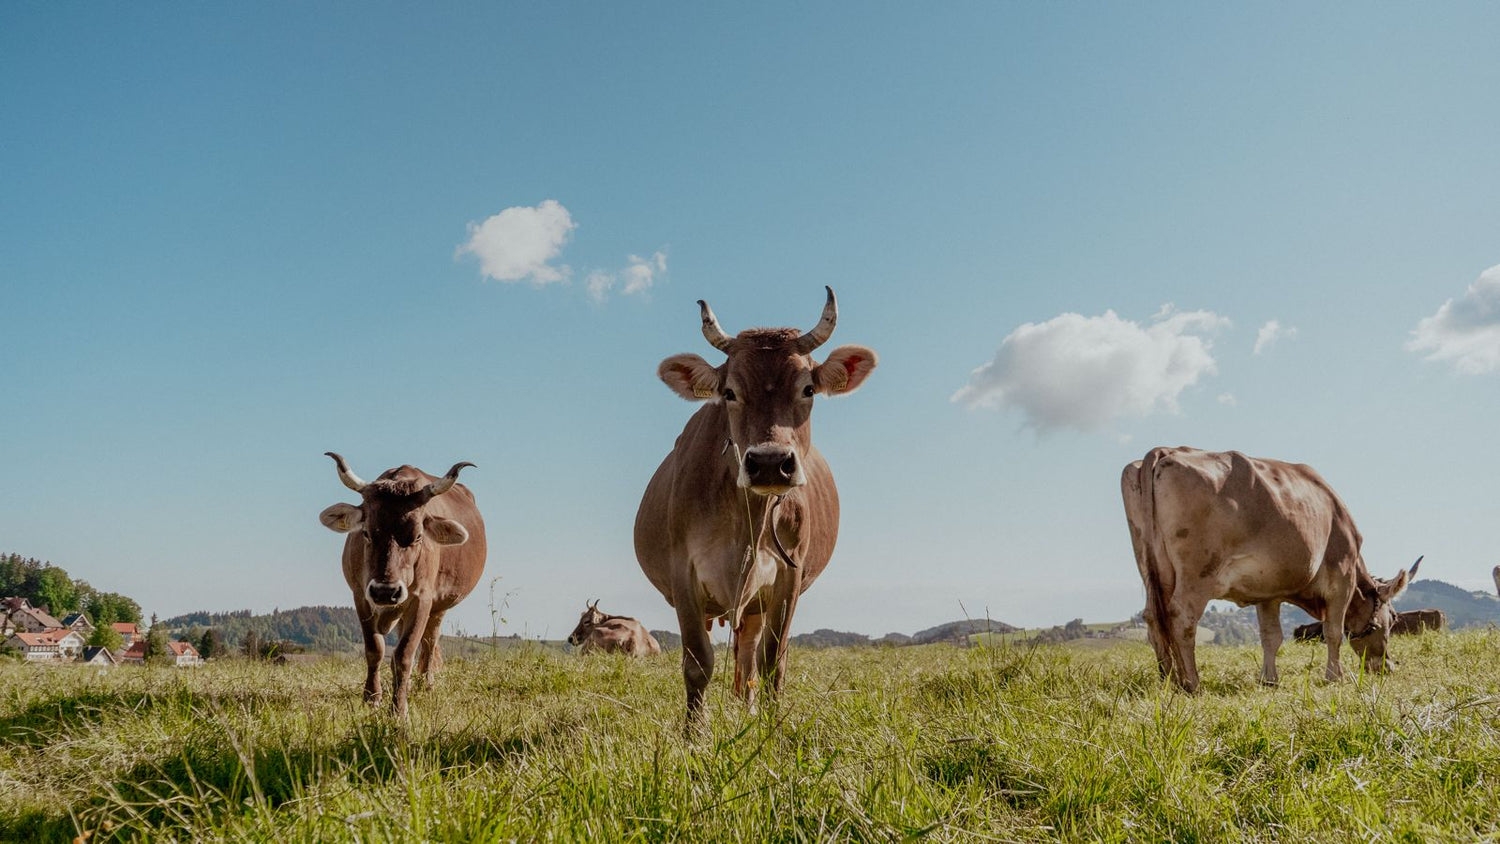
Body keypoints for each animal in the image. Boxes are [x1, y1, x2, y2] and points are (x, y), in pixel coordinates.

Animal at [318, 453, 486, 717]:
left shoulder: (421, 599)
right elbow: (375, 649)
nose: (385, 591)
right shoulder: (361, 596)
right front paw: (372, 698)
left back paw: (426, 684)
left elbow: (404, 654)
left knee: (429, 642)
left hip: (439, 606)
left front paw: (399, 708)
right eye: (366, 532)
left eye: (418, 536)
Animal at [635, 287, 878, 723]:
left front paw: (769, 727)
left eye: (808, 389)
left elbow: (771, 661)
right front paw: (694, 733)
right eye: (730, 392)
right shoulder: (684, 574)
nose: (768, 462)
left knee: (748, 656)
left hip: (755, 606)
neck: (745, 522)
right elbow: (697, 663)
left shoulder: (788, 578)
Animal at [1121, 446, 1420, 692]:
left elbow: (1270, 637)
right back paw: (1192, 683)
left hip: (1150, 568)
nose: (1388, 667)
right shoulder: (1341, 579)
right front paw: (1335, 676)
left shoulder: (1268, 592)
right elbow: (1333, 632)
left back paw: (1168, 680)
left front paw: (1269, 680)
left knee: (1152, 618)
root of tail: (1165, 450)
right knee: (1182, 618)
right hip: (1197, 574)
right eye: (1393, 619)